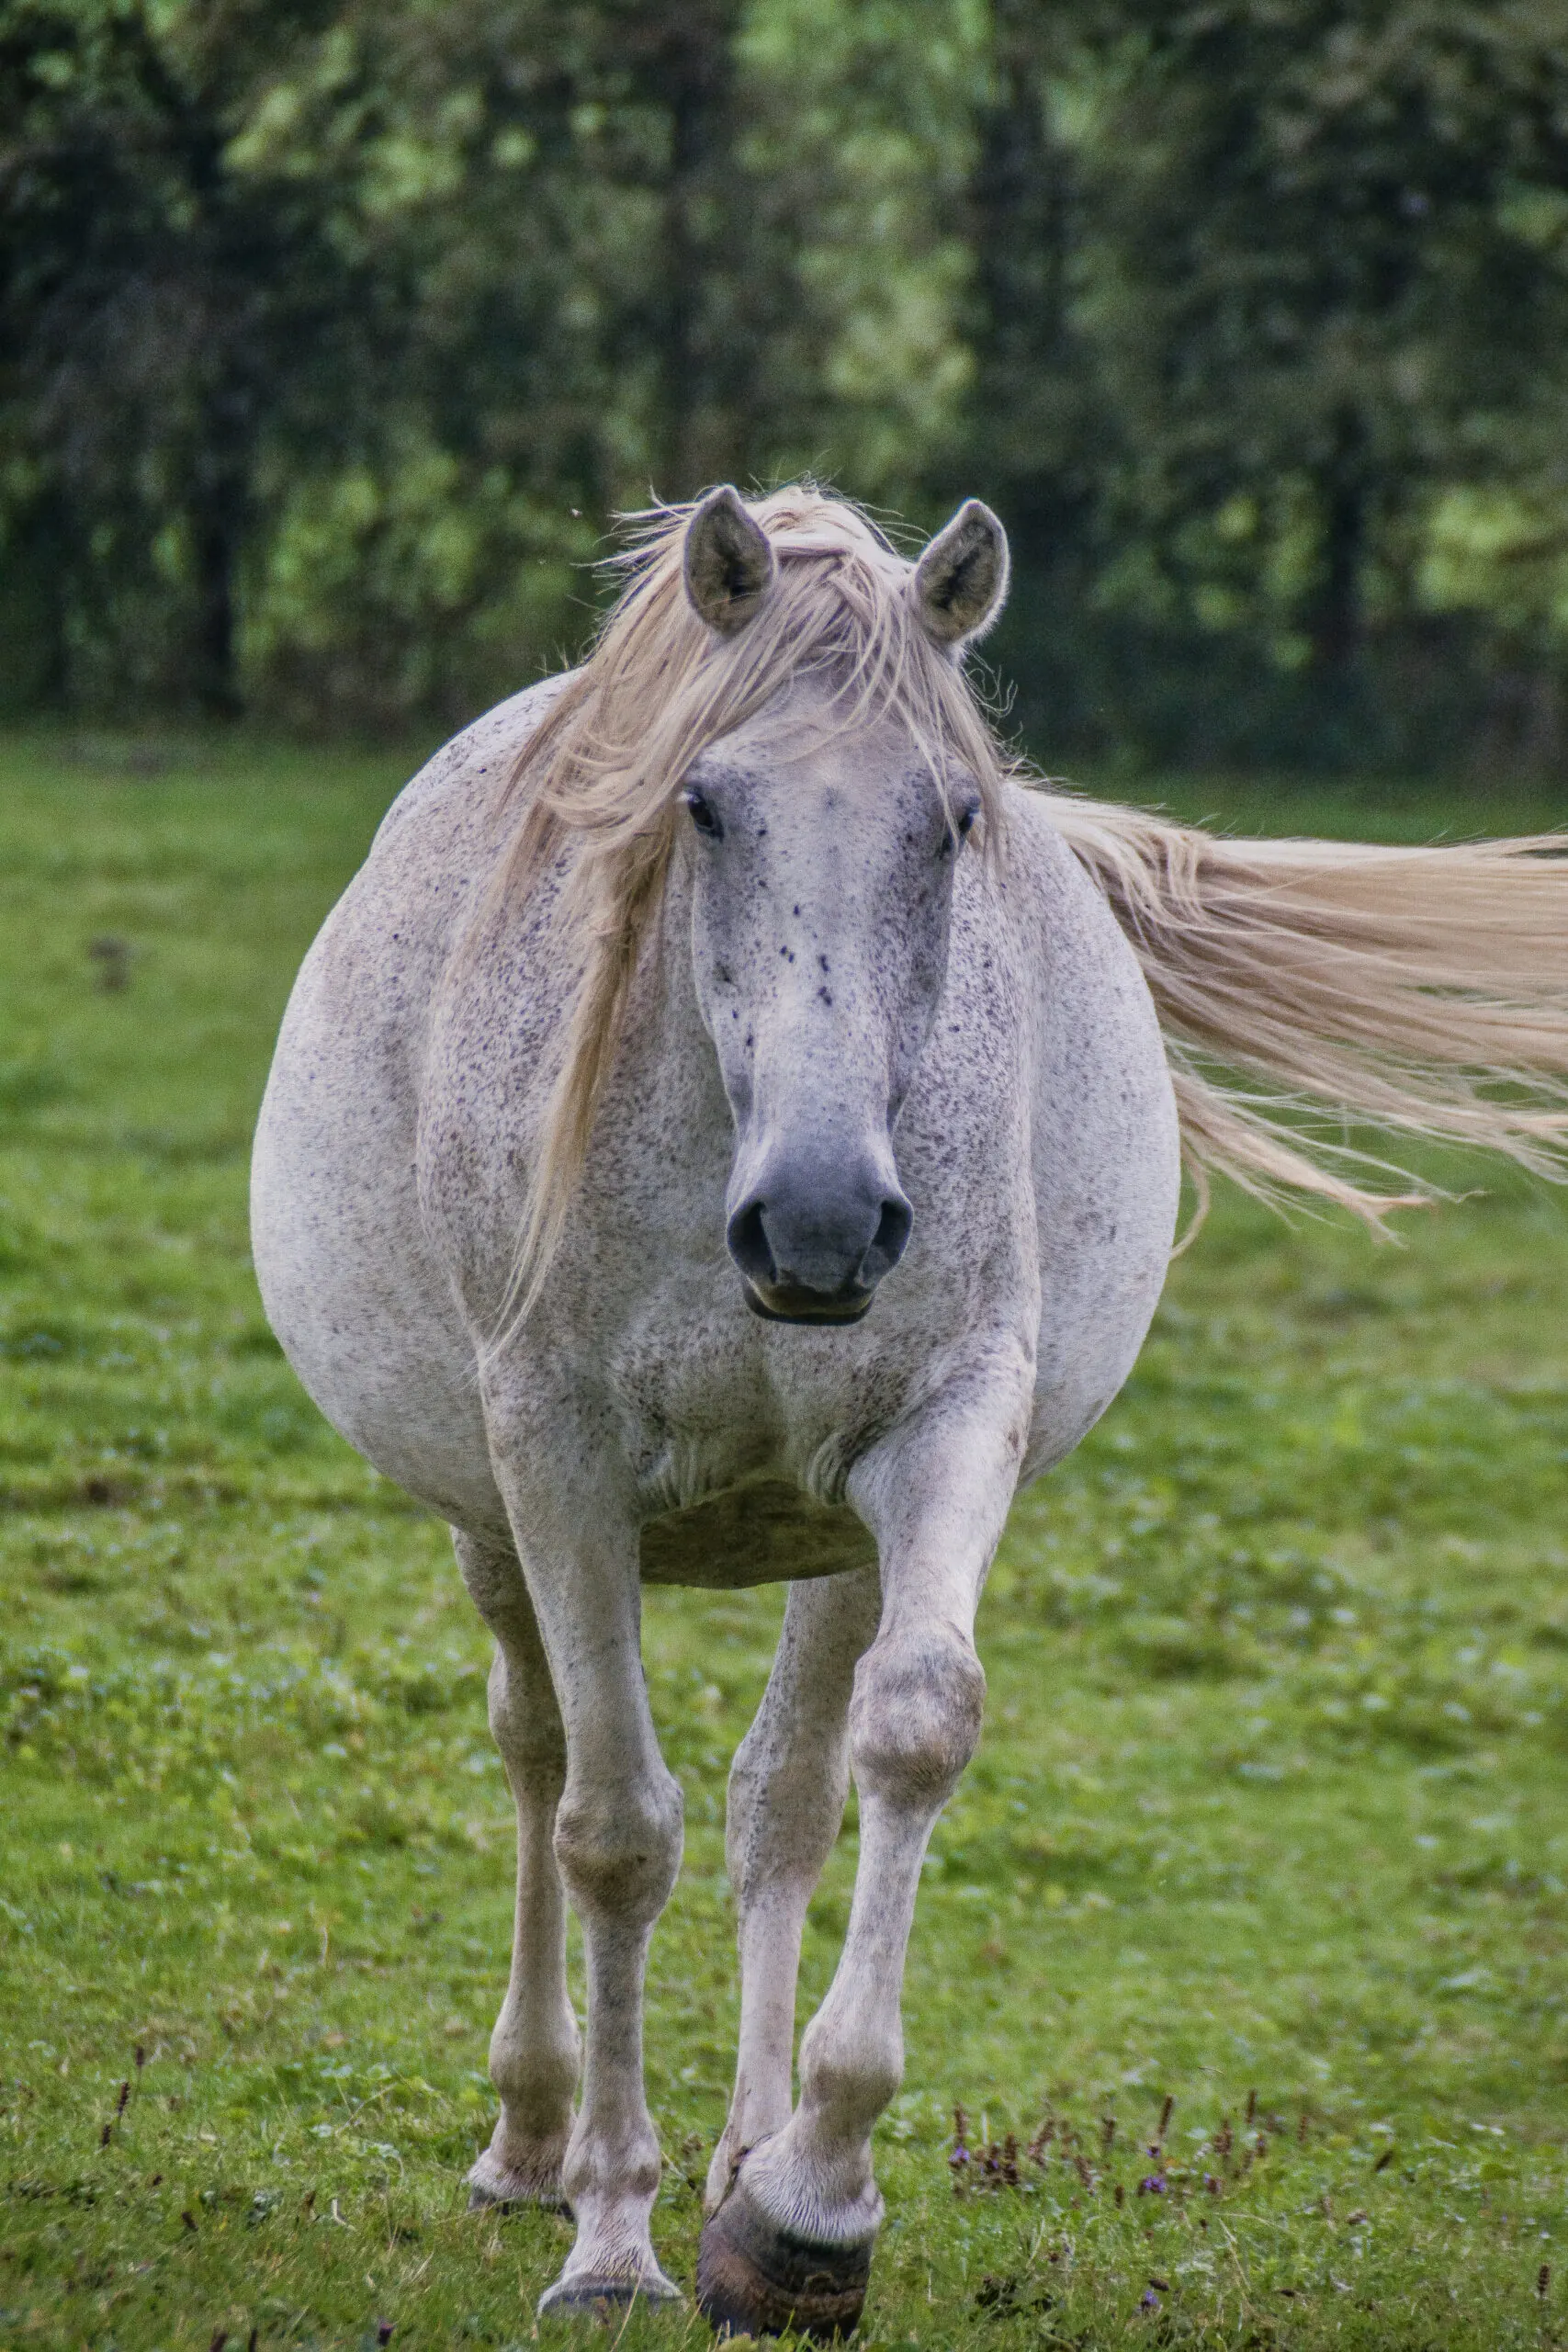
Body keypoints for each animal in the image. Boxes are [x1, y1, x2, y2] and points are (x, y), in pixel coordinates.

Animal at [250, 484, 1568, 2335]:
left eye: (953, 819)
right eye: (700, 806)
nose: (818, 1224)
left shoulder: (940, 1434)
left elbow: (913, 1734)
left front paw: (804, 2208)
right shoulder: (556, 1461)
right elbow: (611, 1830)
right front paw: (609, 2239)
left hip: (827, 1537)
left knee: (782, 1800)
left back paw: (734, 2156)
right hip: (482, 1512)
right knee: (534, 1752)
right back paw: (531, 2138)